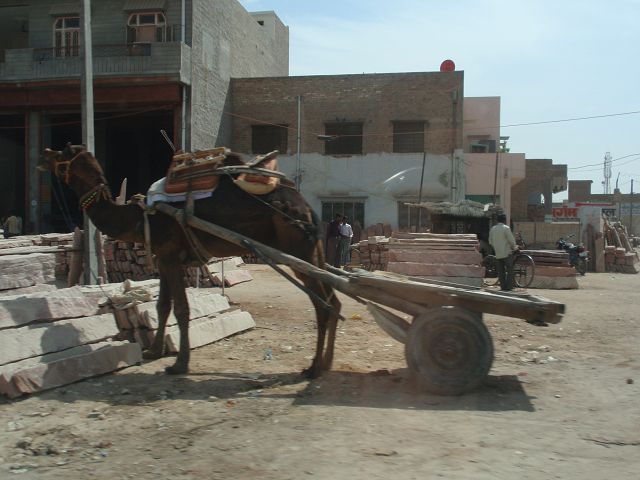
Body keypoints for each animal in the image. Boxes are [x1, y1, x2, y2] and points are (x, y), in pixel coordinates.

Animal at [39, 144, 341, 377]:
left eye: (65, 151)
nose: (45, 154)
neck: (141, 216)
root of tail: (308, 210)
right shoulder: (164, 257)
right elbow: (162, 306)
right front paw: (154, 350)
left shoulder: (170, 254)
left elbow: (182, 309)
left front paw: (179, 364)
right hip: (313, 252)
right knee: (333, 300)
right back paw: (326, 362)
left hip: (297, 250)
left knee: (322, 304)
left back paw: (313, 369)